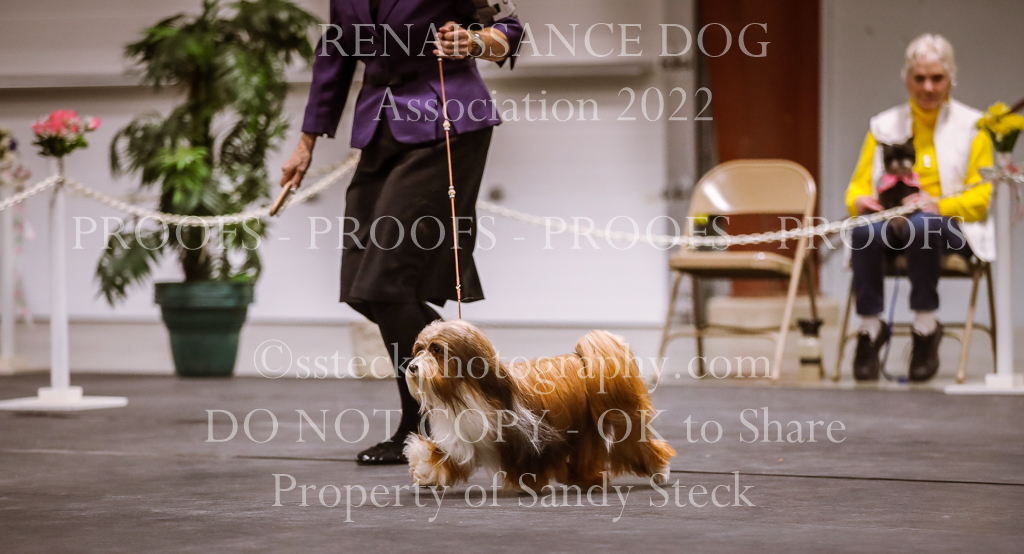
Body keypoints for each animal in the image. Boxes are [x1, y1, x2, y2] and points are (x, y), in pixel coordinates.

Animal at [403, 320, 675, 490]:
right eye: (419, 349)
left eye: (436, 349)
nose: (413, 367)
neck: (464, 389)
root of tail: (583, 358)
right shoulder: (461, 440)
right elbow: (445, 458)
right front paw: (425, 474)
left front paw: (528, 484)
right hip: (586, 430)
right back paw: (584, 479)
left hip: (620, 422)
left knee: (638, 447)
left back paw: (659, 470)